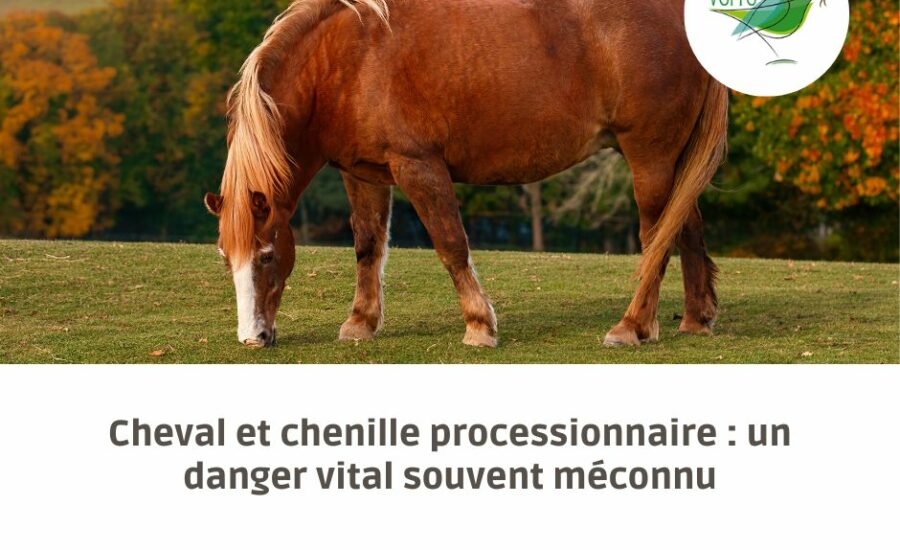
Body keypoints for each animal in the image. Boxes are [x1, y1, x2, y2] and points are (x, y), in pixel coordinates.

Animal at [203, 0, 728, 349]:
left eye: (268, 255)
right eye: (225, 257)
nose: (253, 337)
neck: (350, 60)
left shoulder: (418, 166)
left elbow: (451, 245)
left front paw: (479, 325)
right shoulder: (365, 174)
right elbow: (368, 247)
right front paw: (360, 323)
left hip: (649, 157)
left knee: (657, 238)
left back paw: (633, 326)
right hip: (673, 160)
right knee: (687, 228)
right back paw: (695, 320)